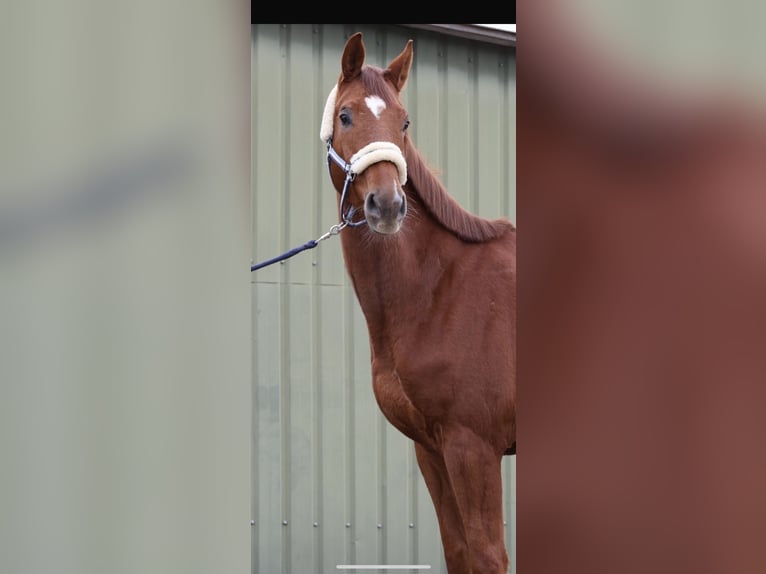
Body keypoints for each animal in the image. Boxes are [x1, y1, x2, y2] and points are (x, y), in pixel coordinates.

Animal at [320, 32, 520, 574]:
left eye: (404, 121)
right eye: (345, 116)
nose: (388, 205)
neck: (439, 290)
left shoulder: (473, 446)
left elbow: (488, 554)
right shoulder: (430, 448)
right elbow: (458, 551)